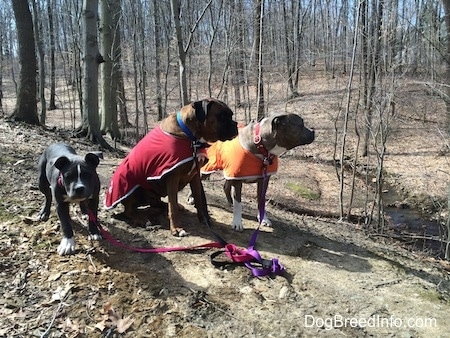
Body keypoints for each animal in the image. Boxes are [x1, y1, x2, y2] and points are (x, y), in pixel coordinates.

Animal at [104, 97, 239, 235]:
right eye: (222, 116)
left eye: (230, 115)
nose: (235, 124)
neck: (191, 137)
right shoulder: (173, 177)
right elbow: (172, 207)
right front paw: (176, 228)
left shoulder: (195, 176)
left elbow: (199, 200)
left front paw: (204, 219)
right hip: (132, 185)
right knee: (129, 211)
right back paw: (141, 219)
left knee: (158, 203)